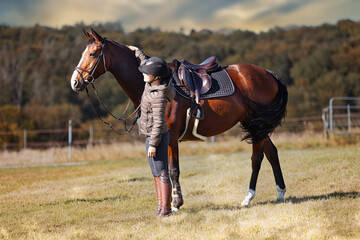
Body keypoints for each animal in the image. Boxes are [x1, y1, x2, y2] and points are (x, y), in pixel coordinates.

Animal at [70, 28, 288, 210]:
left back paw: (248, 197)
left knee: (256, 158)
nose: (75, 82)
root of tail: (268, 74)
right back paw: (280, 193)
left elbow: (173, 169)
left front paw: (176, 204)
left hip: (257, 125)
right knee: (272, 153)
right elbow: (162, 169)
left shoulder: (172, 135)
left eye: (92, 54)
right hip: (257, 125)